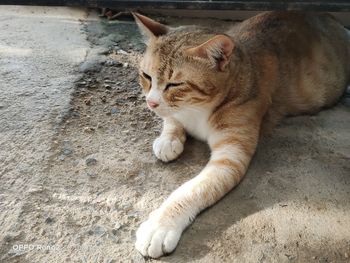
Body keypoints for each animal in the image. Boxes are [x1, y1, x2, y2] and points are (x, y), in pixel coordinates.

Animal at [132, 11, 350, 258]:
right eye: (146, 76)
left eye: (175, 84)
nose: (150, 103)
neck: (197, 109)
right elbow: (172, 119)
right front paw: (168, 139)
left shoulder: (230, 157)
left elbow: (189, 192)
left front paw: (160, 225)